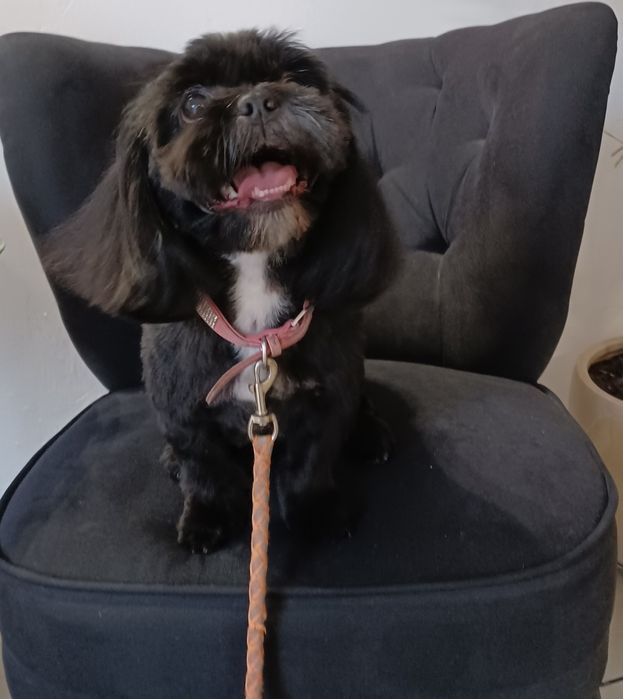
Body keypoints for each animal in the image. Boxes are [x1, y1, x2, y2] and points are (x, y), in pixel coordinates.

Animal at [43, 29, 398, 553]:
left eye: (293, 78)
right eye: (192, 103)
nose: (258, 101)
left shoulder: (327, 396)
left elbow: (312, 462)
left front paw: (315, 511)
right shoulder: (182, 406)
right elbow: (203, 466)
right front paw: (205, 517)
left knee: (361, 406)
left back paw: (372, 436)